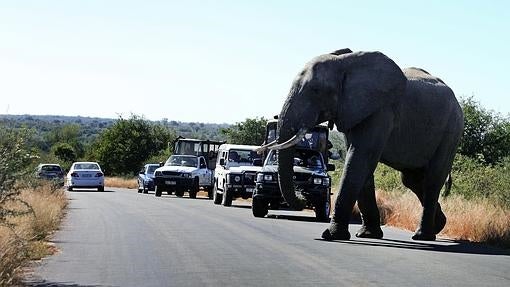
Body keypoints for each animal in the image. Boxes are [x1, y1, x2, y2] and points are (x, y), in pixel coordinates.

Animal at [268, 49, 464, 241]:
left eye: (316, 90)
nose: (302, 195)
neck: (345, 63)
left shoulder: (381, 111)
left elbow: (360, 158)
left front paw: (331, 235)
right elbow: (360, 163)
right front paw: (367, 235)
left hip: (452, 129)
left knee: (432, 179)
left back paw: (422, 236)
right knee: (411, 179)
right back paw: (439, 225)